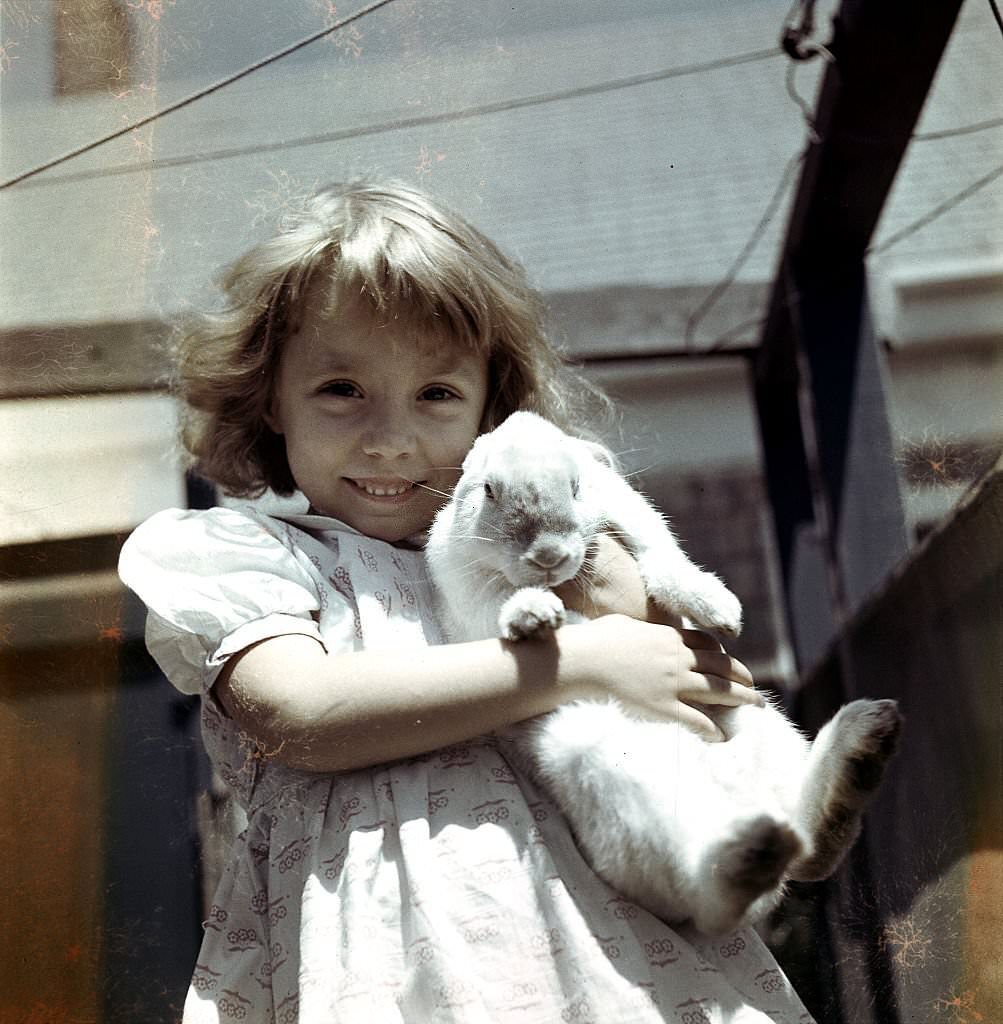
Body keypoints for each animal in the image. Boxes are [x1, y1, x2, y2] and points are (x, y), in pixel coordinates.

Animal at [426, 409, 901, 937]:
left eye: (576, 485)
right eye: (490, 490)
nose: (548, 557)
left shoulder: (637, 520)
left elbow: (664, 562)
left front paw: (721, 611)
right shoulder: (469, 591)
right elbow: (499, 607)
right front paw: (532, 617)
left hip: (765, 726)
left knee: (808, 848)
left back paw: (863, 742)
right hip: (611, 774)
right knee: (718, 899)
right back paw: (756, 850)